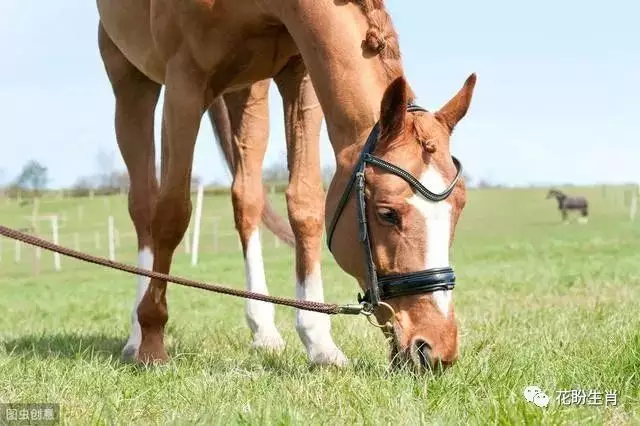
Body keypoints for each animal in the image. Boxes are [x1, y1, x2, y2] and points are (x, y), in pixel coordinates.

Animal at [96, 0, 476, 372]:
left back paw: (264, 330)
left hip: (248, 92)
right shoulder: (183, 85)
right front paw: (152, 342)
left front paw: (320, 343)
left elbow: (304, 204)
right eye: (387, 213)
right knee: (144, 204)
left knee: (246, 199)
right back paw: (136, 335)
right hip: (130, 81)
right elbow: (172, 213)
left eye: (460, 208)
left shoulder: (300, 77)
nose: (437, 348)